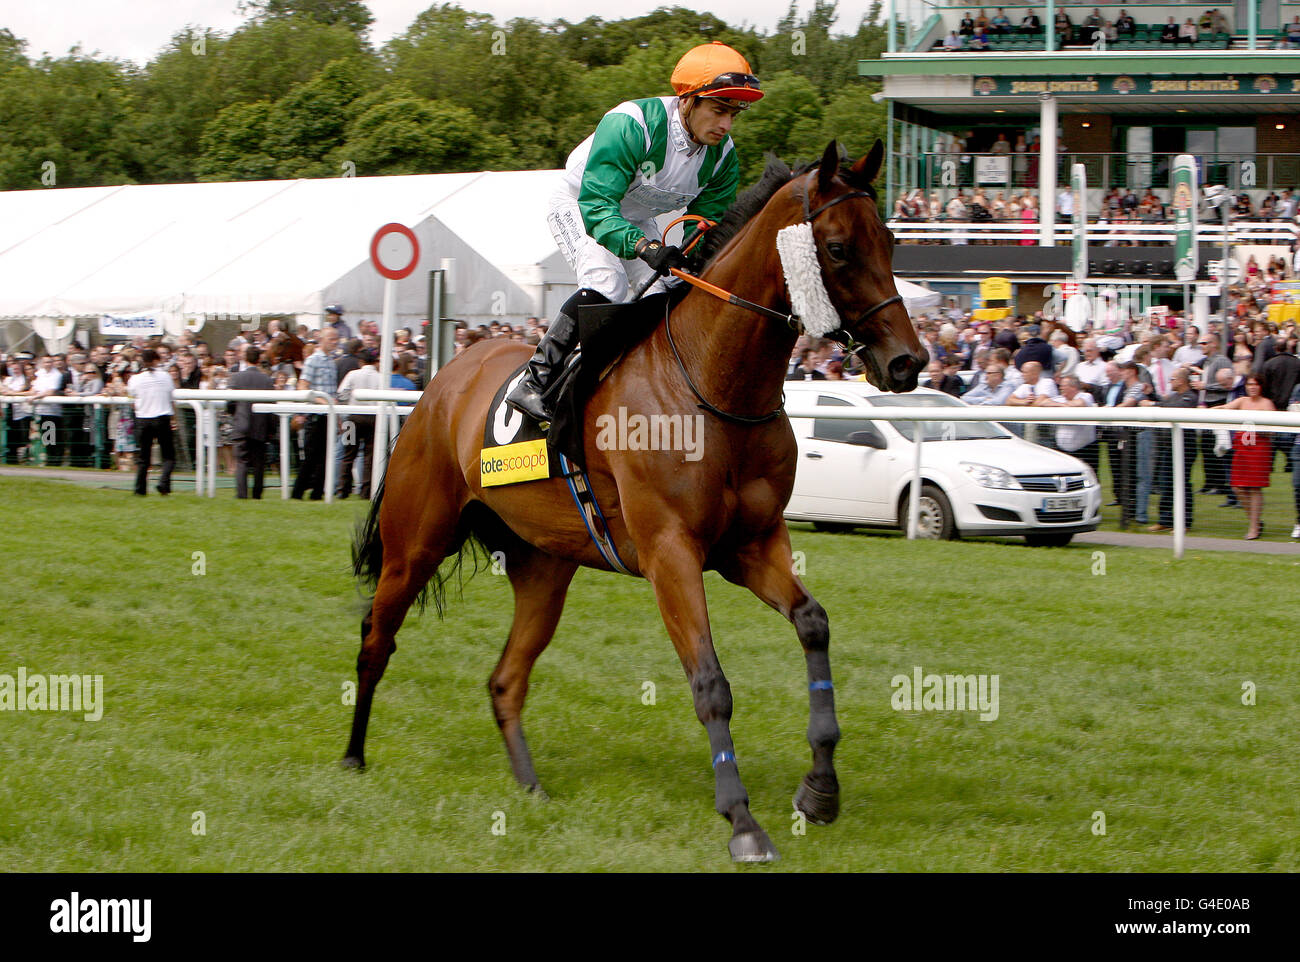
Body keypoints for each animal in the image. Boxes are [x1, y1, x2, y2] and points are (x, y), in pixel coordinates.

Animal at [343, 139, 925, 857]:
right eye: (839, 248)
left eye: (891, 240)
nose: (907, 362)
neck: (712, 382)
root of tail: (443, 375)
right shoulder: (669, 552)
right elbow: (711, 682)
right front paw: (742, 820)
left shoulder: (752, 545)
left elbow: (813, 623)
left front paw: (819, 789)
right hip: (415, 545)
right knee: (376, 639)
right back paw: (353, 758)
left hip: (544, 569)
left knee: (506, 680)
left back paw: (530, 786)